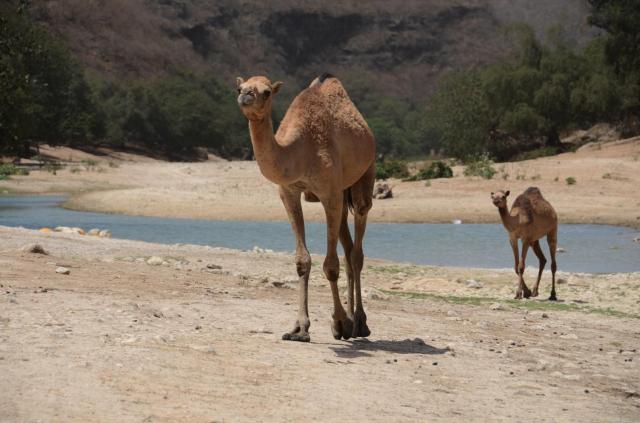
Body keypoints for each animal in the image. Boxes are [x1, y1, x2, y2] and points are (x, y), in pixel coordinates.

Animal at [236, 73, 376, 342]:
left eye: (266, 92)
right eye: (240, 87)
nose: (246, 95)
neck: (299, 151)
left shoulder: (329, 193)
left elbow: (330, 266)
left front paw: (339, 322)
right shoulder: (288, 192)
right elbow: (302, 261)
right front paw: (300, 328)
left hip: (365, 176)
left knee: (356, 251)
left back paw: (360, 323)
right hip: (342, 194)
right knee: (348, 248)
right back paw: (351, 322)